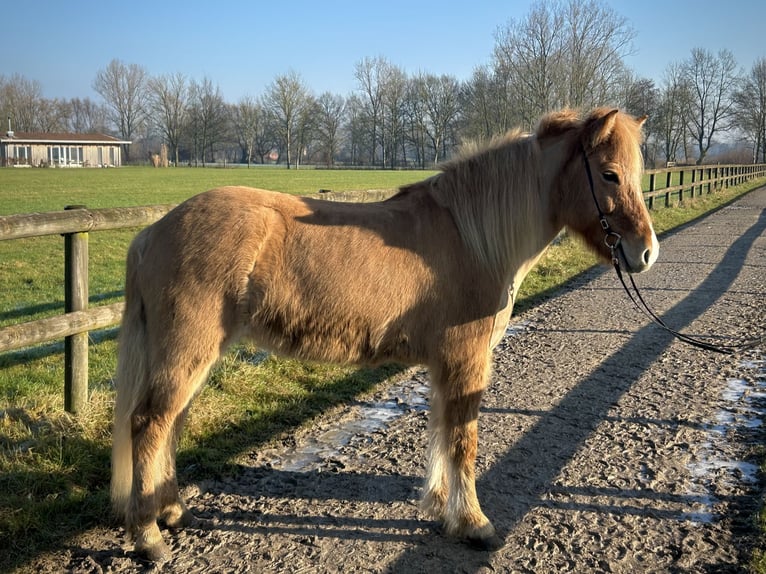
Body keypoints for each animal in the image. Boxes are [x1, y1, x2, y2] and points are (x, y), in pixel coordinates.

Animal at [112, 108, 660, 564]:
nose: (646, 252)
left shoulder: (445, 366)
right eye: (609, 174)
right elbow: (463, 440)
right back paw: (149, 538)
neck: (471, 237)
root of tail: (153, 232)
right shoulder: (466, 362)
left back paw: (174, 513)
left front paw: (440, 506)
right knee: (149, 424)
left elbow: (441, 430)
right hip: (186, 352)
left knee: (170, 424)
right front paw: (474, 523)